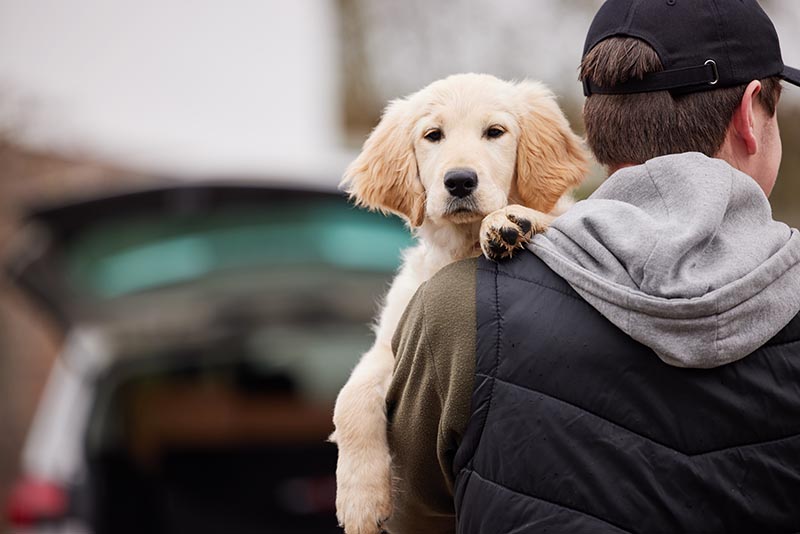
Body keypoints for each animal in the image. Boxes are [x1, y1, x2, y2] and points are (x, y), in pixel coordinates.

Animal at [332, 73, 588, 532]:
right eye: (433, 135)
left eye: (495, 132)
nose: (460, 181)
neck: (461, 247)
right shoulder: (390, 346)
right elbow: (349, 399)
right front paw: (359, 501)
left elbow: (551, 217)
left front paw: (510, 222)